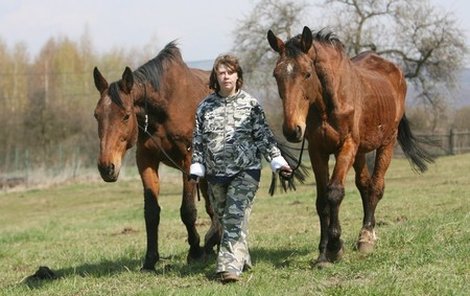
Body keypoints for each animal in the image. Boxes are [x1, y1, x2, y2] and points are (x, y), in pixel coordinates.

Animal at [94, 41, 223, 272]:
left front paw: (195, 251)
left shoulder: (188, 160)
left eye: (126, 115)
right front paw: (150, 259)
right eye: (96, 115)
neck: (166, 105)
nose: (106, 167)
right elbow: (151, 213)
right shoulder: (146, 160)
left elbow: (188, 211)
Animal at [268, 25, 434, 266]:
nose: (292, 130)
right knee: (365, 185)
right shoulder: (317, 151)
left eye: (307, 73)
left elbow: (335, 192)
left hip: (387, 143)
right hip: (361, 151)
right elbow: (321, 201)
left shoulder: (346, 147)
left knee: (376, 187)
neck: (329, 103)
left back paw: (366, 237)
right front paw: (322, 253)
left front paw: (335, 246)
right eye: (276, 75)